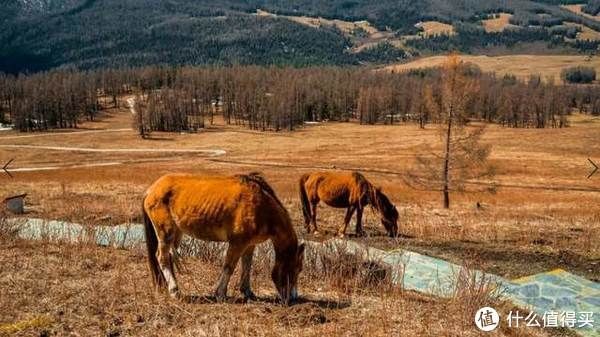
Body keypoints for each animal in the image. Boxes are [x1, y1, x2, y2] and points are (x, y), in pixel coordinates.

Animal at [144, 172, 308, 304]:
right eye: (297, 268)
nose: (293, 298)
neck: (263, 207)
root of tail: (151, 189)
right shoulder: (237, 243)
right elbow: (229, 266)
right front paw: (220, 294)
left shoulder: (249, 245)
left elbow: (247, 266)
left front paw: (248, 292)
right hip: (166, 233)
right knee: (162, 257)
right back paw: (174, 291)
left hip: (177, 233)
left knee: (170, 256)